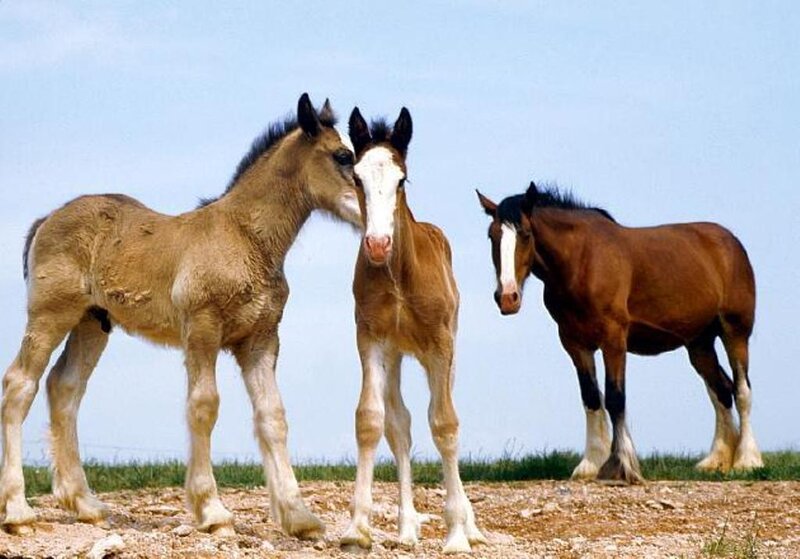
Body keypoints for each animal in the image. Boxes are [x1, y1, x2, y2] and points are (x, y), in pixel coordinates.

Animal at [0, 94, 362, 537]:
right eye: (343, 155)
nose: (372, 212)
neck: (244, 237)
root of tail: (46, 219)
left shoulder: (260, 340)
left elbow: (273, 416)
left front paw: (298, 516)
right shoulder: (202, 330)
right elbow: (204, 405)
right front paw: (212, 511)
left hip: (92, 323)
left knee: (64, 387)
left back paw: (86, 504)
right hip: (50, 315)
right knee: (20, 384)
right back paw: (18, 511)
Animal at [341, 107, 486, 553]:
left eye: (402, 179)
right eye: (357, 178)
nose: (377, 244)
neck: (399, 276)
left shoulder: (440, 345)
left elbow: (445, 424)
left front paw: (456, 535)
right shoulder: (370, 340)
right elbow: (371, 420)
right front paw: (357, 528)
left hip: (446, 351)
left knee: (442, 414)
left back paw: (471, 526)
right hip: (396, 355)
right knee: (399, 425)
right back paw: (406, 530)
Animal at [477, 181, 763, 484]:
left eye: (526, 233)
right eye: (492, 235)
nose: (507, 297)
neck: (582, 261)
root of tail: (729, 241)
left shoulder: (613, 339)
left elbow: (616, 398)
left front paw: (621, 465)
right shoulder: (575, 343)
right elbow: (592, 398)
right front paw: (590, 463)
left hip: (735, 331)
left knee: (741, 390)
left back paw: (747, 461)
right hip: (699, 343)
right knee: (721, 391)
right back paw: (716, 461)